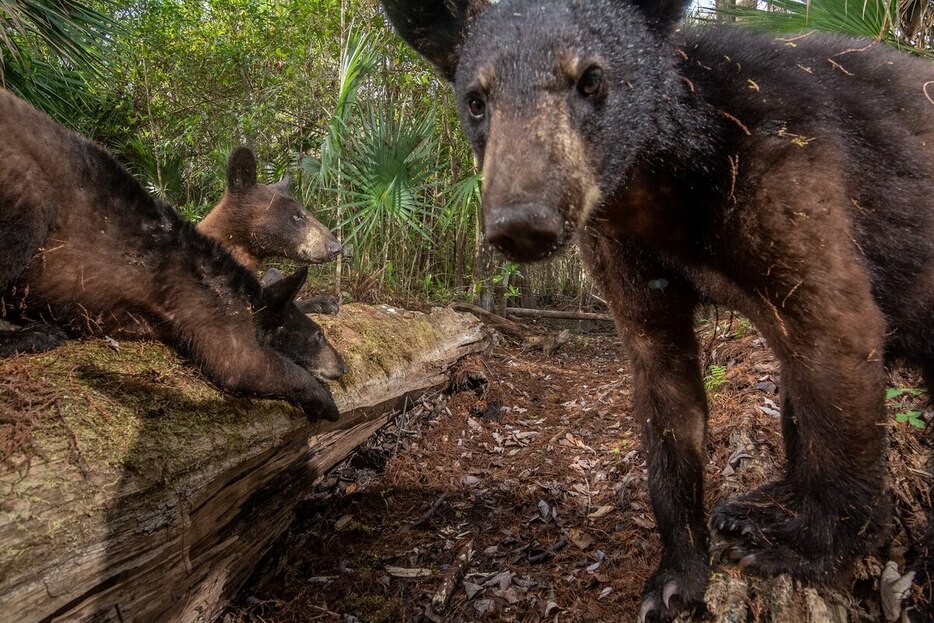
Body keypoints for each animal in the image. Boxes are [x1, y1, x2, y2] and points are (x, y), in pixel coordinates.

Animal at [0, 90, 348, 424]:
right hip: (25, 193)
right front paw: (327, 401)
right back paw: (36, 334)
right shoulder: (205, 302)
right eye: (318, 336)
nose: (343, 366)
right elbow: (241, 364)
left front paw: (322, 302)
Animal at [384, 0, 934, 620]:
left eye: (591, 79)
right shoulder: (618, 246)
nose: (521, 222)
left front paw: (806, 552)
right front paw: (676, 579)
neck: (662, 186)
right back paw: (758, 507)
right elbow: (665, 389)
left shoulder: (793, 173)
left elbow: (838, 334)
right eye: (476, 99)